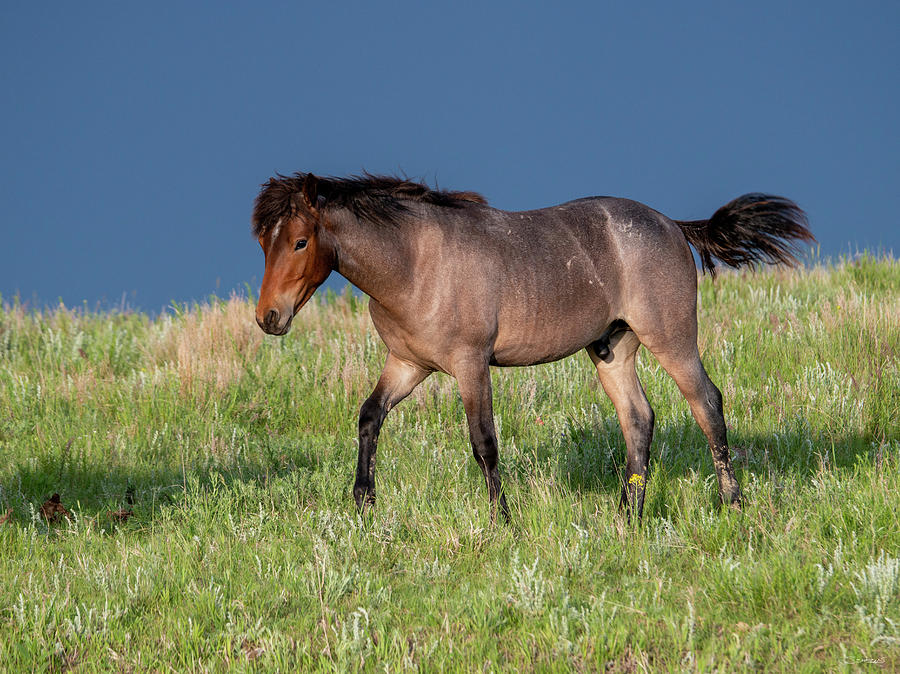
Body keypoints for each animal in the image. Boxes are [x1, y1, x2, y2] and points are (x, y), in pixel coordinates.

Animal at [250, 173, 812, 520]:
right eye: (262, 242)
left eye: (300, 242)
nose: (268, 318)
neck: (415, 264)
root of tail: (672, 225)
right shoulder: (408, 364)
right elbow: (369, 416)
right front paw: (363, 503)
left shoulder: (470, 364)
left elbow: (484, 443)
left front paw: (502, 520)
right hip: (611, 350)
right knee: (638, 418)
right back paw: (627, 516)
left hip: (671, 338)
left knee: (707, 404)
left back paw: (731, 504)